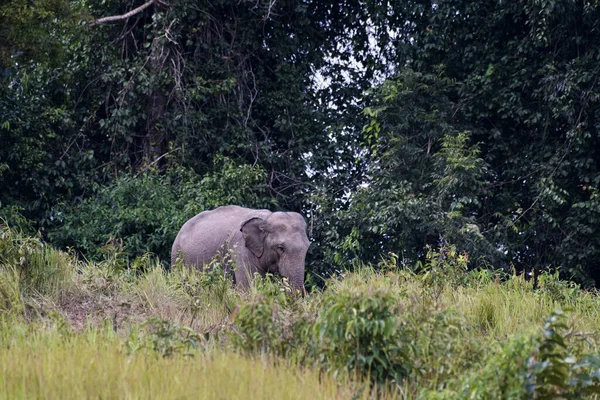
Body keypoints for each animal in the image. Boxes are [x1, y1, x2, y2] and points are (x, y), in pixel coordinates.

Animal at [169, 206, 310, 294]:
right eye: (281, 248)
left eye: (307, 247)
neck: (266, 218)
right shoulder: (241, 249)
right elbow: (248, 287)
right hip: (177, 255)